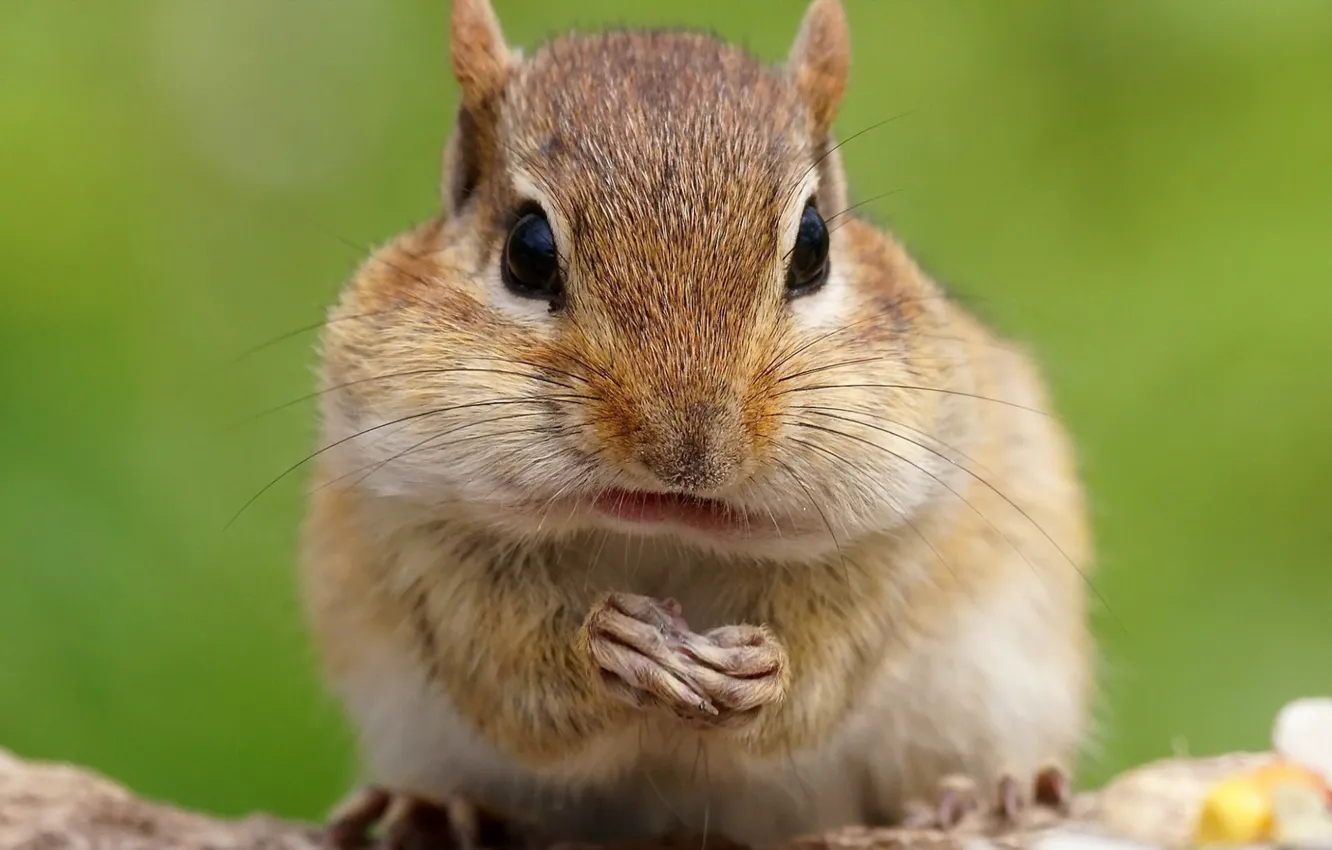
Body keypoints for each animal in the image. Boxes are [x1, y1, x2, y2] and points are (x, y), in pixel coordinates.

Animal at [298, 0, 1096, 847]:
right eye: (528, 249)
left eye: (814, 244)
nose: (688, 452)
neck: (665, 537)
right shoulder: (409, 525)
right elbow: (509, 671)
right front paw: (608, 649)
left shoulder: (907, 524)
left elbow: (831, 660)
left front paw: (767, 671)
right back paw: (437, 808)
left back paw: (989, 793)